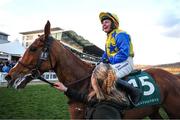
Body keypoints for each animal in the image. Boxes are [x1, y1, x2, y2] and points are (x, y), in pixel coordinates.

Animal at [4, 20, 180, 119]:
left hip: (173, 111)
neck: (82, 83)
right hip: (153, 111)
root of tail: (174, 77)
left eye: (33, 48)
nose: (9, 76)